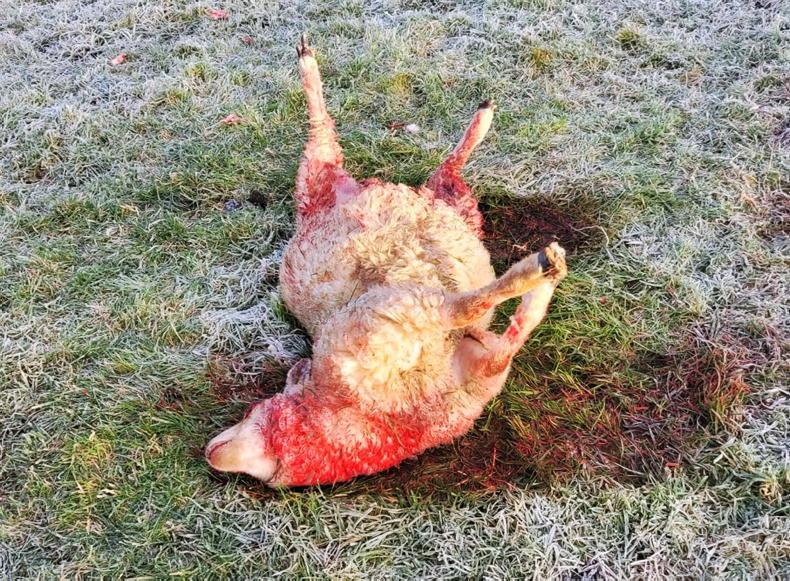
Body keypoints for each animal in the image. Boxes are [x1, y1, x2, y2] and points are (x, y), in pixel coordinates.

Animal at [205, 37, 568, 486]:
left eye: (253, 411)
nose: (211, 452)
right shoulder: (405, 324)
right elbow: (485, 320)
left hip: (335, 200)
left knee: (330, 140)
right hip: (431, 299)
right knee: (482, 308)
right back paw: (543, 270)